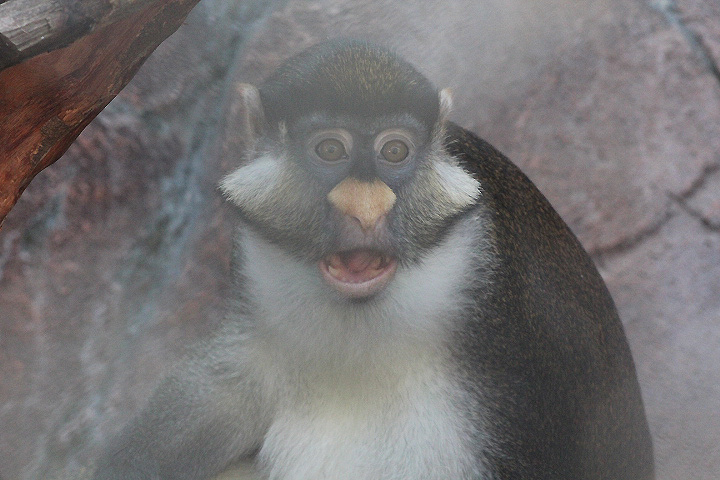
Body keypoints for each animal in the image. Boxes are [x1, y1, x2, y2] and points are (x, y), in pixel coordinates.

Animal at [92, 40, 654, 479]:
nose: (366, 209)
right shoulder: (242, 354)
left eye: (395, 151)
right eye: (330, 149)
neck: (358, 343)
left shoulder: (516, 352)